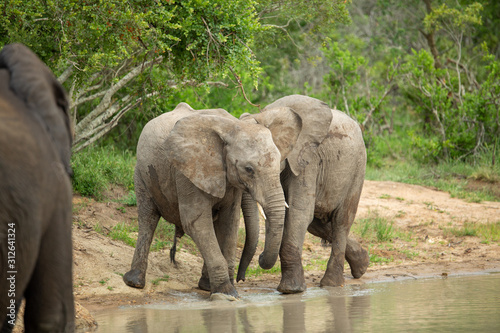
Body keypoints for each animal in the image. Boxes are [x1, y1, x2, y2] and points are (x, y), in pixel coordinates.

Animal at [123, 102, 288, 298]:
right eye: (248, 169)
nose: (242, 279)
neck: (232, 126)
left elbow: (229, 221)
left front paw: (220, 290)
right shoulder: (187, 171)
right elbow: (196, 222)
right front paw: (227, 293)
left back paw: (205, 285)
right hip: (141, 173)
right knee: (147, 218)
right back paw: (134, 282)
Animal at [240, 94, 370, 292]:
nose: (260, 256)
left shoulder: (307, 159)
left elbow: (298, 212)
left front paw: (290, 290)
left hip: (357, 168)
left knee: (341, 221)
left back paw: (332, 284)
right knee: (317, 225)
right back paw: (362, 265)